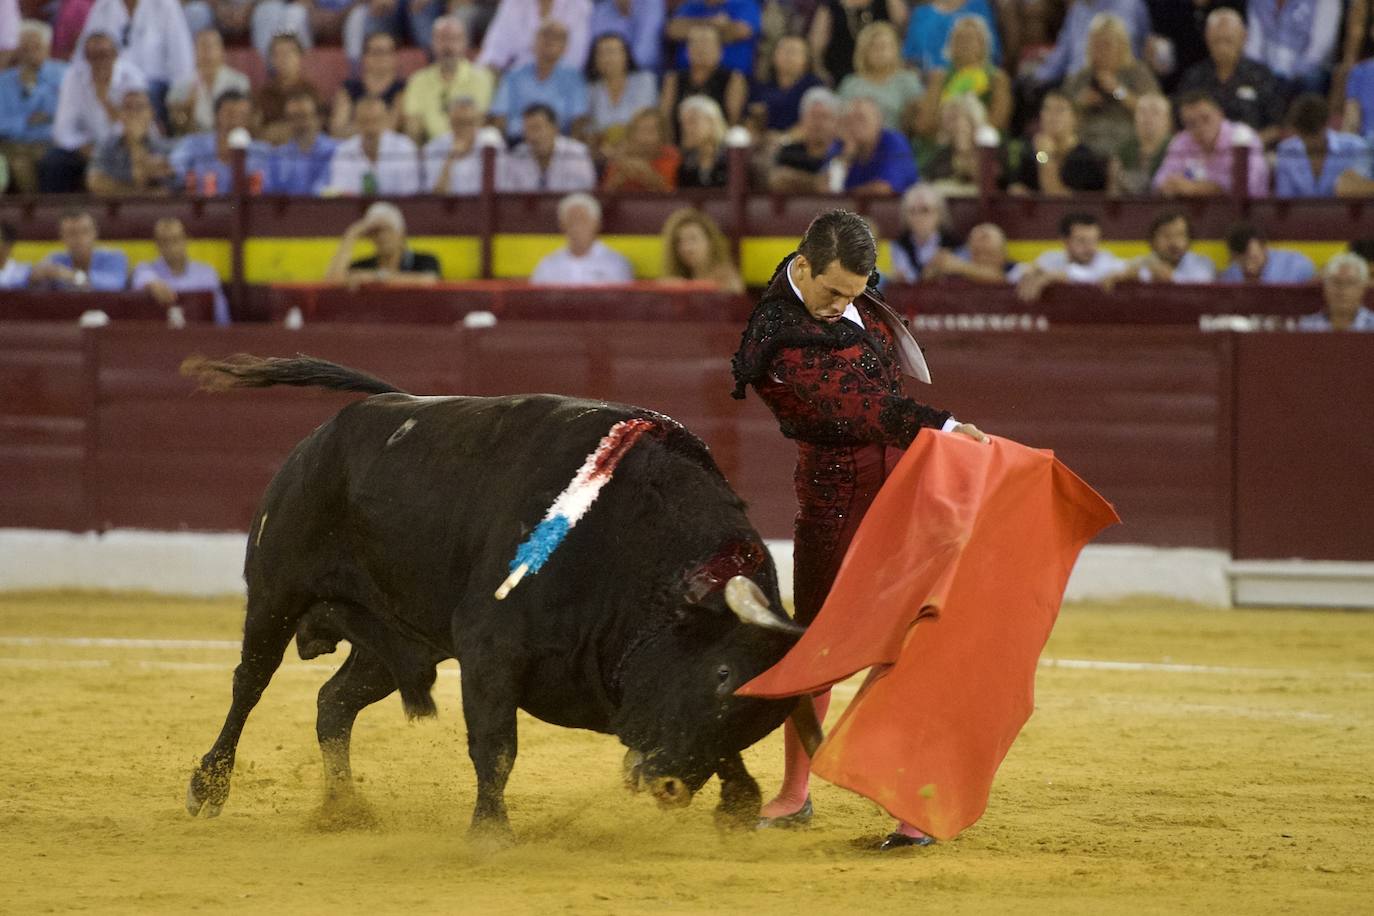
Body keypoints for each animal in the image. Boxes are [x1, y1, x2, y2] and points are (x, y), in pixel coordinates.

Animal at [181, 357, 813, 840]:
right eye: (723, 673)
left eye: (767, 713)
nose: (671, 787)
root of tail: (326, 434)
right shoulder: (491, 649)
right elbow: (497, 747)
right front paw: (490, 834)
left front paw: (738, 804)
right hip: (276, 591)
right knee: (250, 683)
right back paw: (208, 787)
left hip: (397, 641)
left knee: (333, 702)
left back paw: (344, 810)